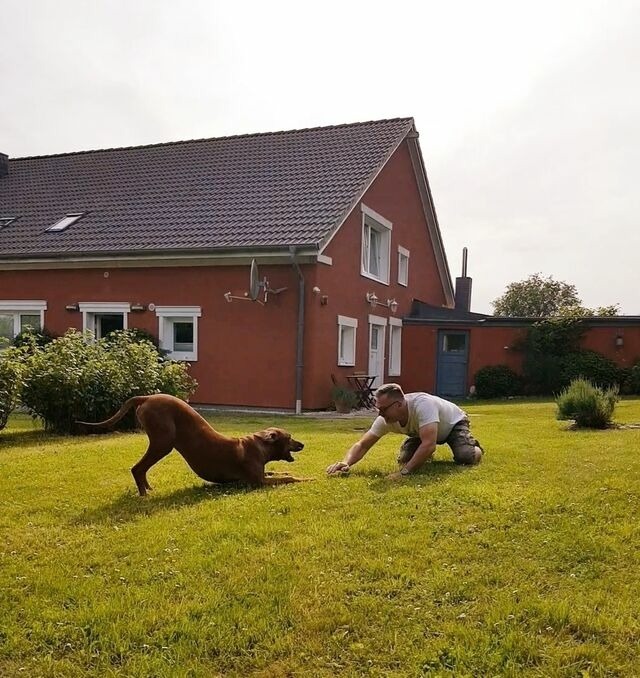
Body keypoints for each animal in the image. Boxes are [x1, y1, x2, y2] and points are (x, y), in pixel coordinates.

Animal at [77, 396, 308, 496]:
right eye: (290, 437)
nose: (303, 444)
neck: (259, 446)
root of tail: (148, 396)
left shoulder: (262, 474)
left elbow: (278, 471)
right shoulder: (257, 482)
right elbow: (287, 478)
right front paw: (305, 478)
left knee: (141, 469)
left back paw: (148, 488)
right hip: (163, 442)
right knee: (137, 468)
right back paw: (144, 494)